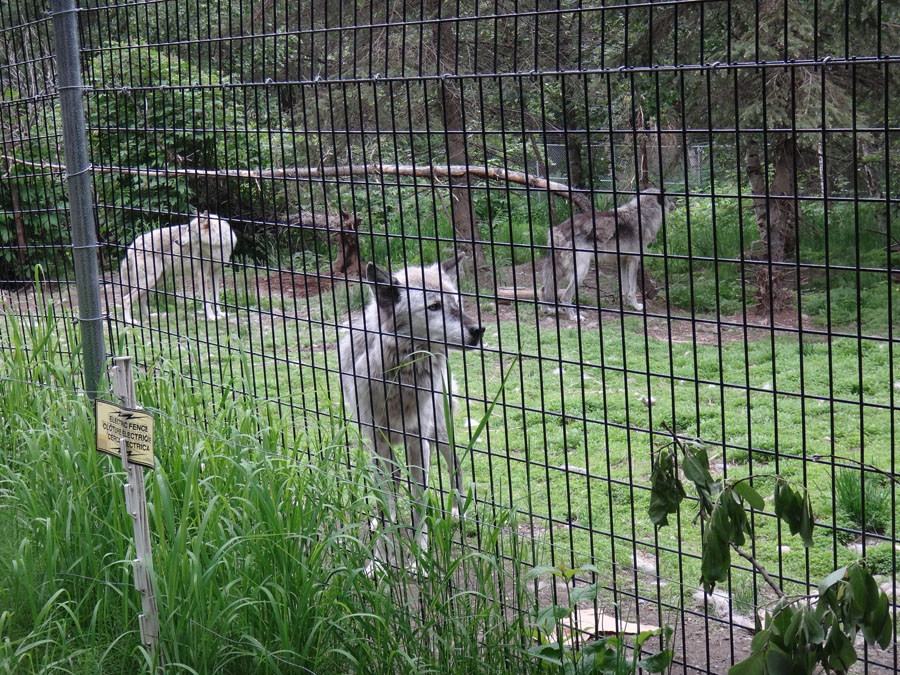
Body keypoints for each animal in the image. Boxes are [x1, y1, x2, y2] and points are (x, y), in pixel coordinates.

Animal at [339, 255, 485, 573]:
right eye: (433, 306)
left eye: (457, 301)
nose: (479, 329)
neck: (399, 377)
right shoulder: (378, 444)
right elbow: (386, 504)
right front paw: (377, 562)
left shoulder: (419, 443)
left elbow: (420, 503)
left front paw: (420, 561)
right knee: (392, 490)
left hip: (440, 434)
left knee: (456, 467)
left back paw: (458, 512)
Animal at [538, 188, 675, 318]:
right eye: (668, 198)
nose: (674, 204)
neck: (644, 215)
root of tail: (558, 229)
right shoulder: (634, 260)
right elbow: (632, 290)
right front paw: (636, 306)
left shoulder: (623, 260)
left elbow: (625, 289)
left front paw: (626, 304)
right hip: (581, 271)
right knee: (565, 296)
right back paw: (574, 317)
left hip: (561, 271)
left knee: (542, 289)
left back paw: (548, 310)